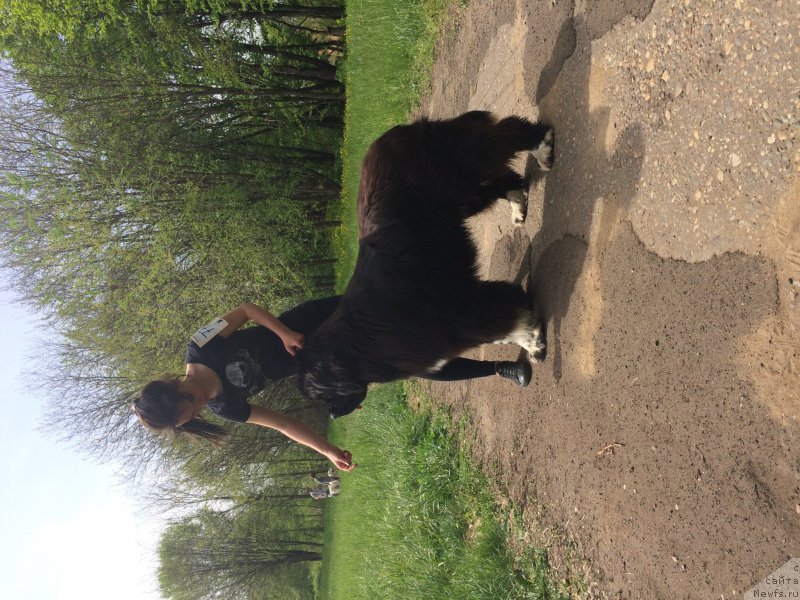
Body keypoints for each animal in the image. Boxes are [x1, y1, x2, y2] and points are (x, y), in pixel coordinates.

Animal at [296, 111, 552, 418]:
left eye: (323, 394)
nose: (333, 415)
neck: (355, 349)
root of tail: (390, 135)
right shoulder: (466, 296)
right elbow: (508, 316)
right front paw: (531, 332)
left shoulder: (460, 317)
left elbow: (508, 326)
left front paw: (533, 343)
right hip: (463, 196)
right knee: (503, 178)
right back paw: (518, 204)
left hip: (461, 165)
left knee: (505, 133)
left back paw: (543, 147)